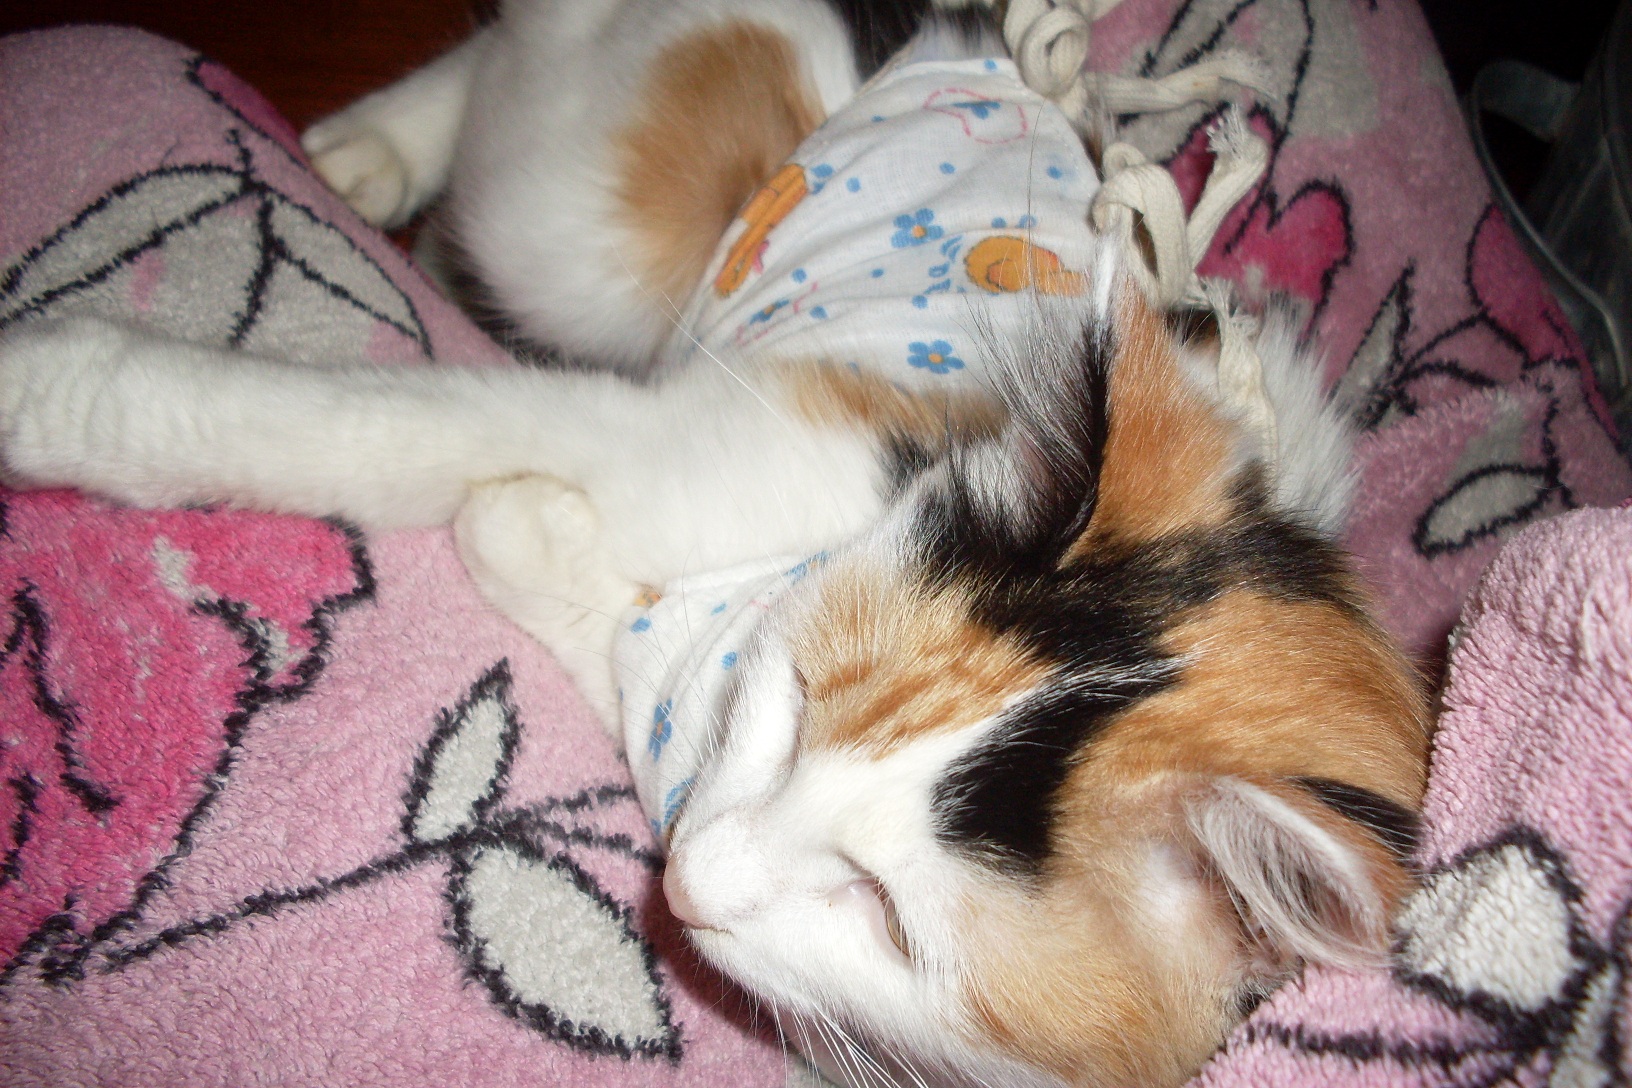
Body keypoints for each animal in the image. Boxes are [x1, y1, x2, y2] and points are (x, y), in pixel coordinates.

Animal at [0, 1, 1431, 1085]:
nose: (683, 881)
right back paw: (369, 152)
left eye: (888, 915)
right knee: (525, 87)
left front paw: (531, 533)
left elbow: (566, 583)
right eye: (796, 712)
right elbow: (374, 433)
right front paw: (43, 393)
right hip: (598, 224)